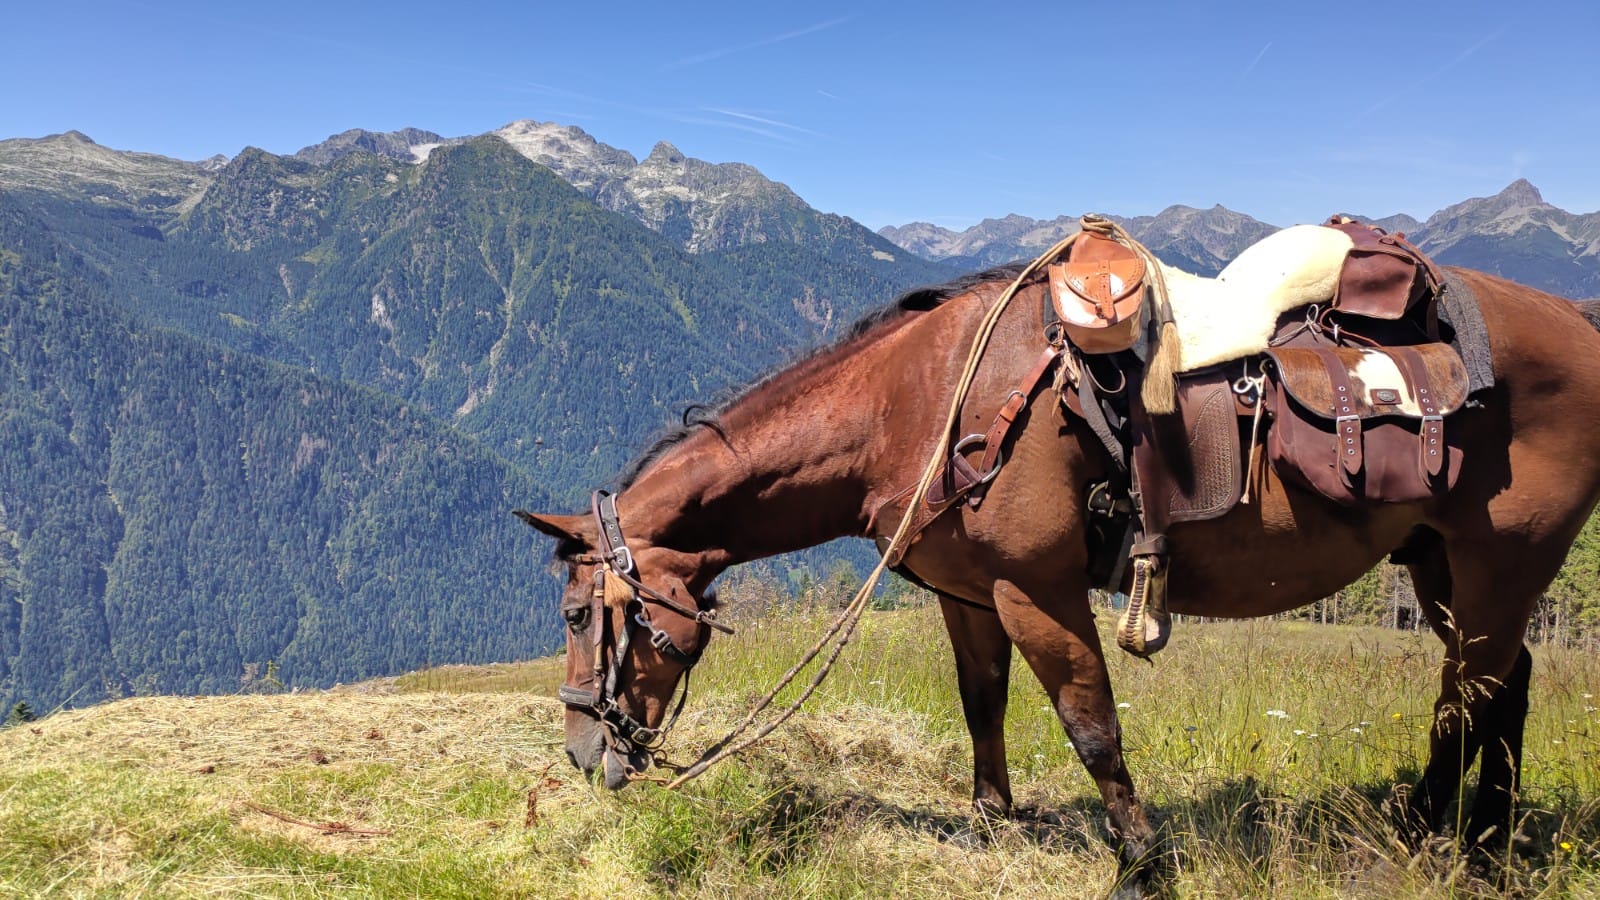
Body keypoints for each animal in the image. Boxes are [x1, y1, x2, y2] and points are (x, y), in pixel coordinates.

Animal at [516, 258, 1600, 893]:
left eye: (574, 615)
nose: (582, 751)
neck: (918, 404)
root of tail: (1576, 321)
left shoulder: (1036, 589)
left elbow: (1089, 724)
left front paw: (1140, 862)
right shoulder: (969, 593)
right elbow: (983, 701)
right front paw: (991, 823)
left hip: (1500, 561)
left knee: (1469, 697)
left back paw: (1431, 838)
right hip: (1442, 564)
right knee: (1501, 691)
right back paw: (1480, 846)